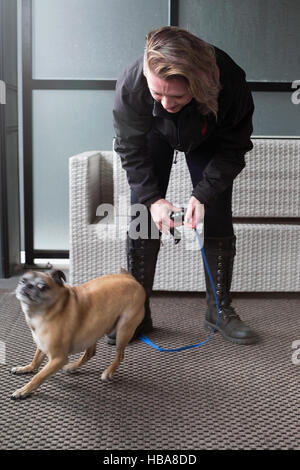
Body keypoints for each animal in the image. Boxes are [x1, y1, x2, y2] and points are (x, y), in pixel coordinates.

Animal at [10, 268, 144, 400]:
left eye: (42, 286)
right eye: (22, 281)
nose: (27, 285)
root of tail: (131, 278)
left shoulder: (58, 359)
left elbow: (38, 376)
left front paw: (24, 390)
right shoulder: (42, 346)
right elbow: (36, 360)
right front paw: (26, 368)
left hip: (123, 330)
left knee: (120, 355)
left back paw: (108, 372)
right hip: (93, 331)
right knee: (90, 353)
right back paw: (72, 367)